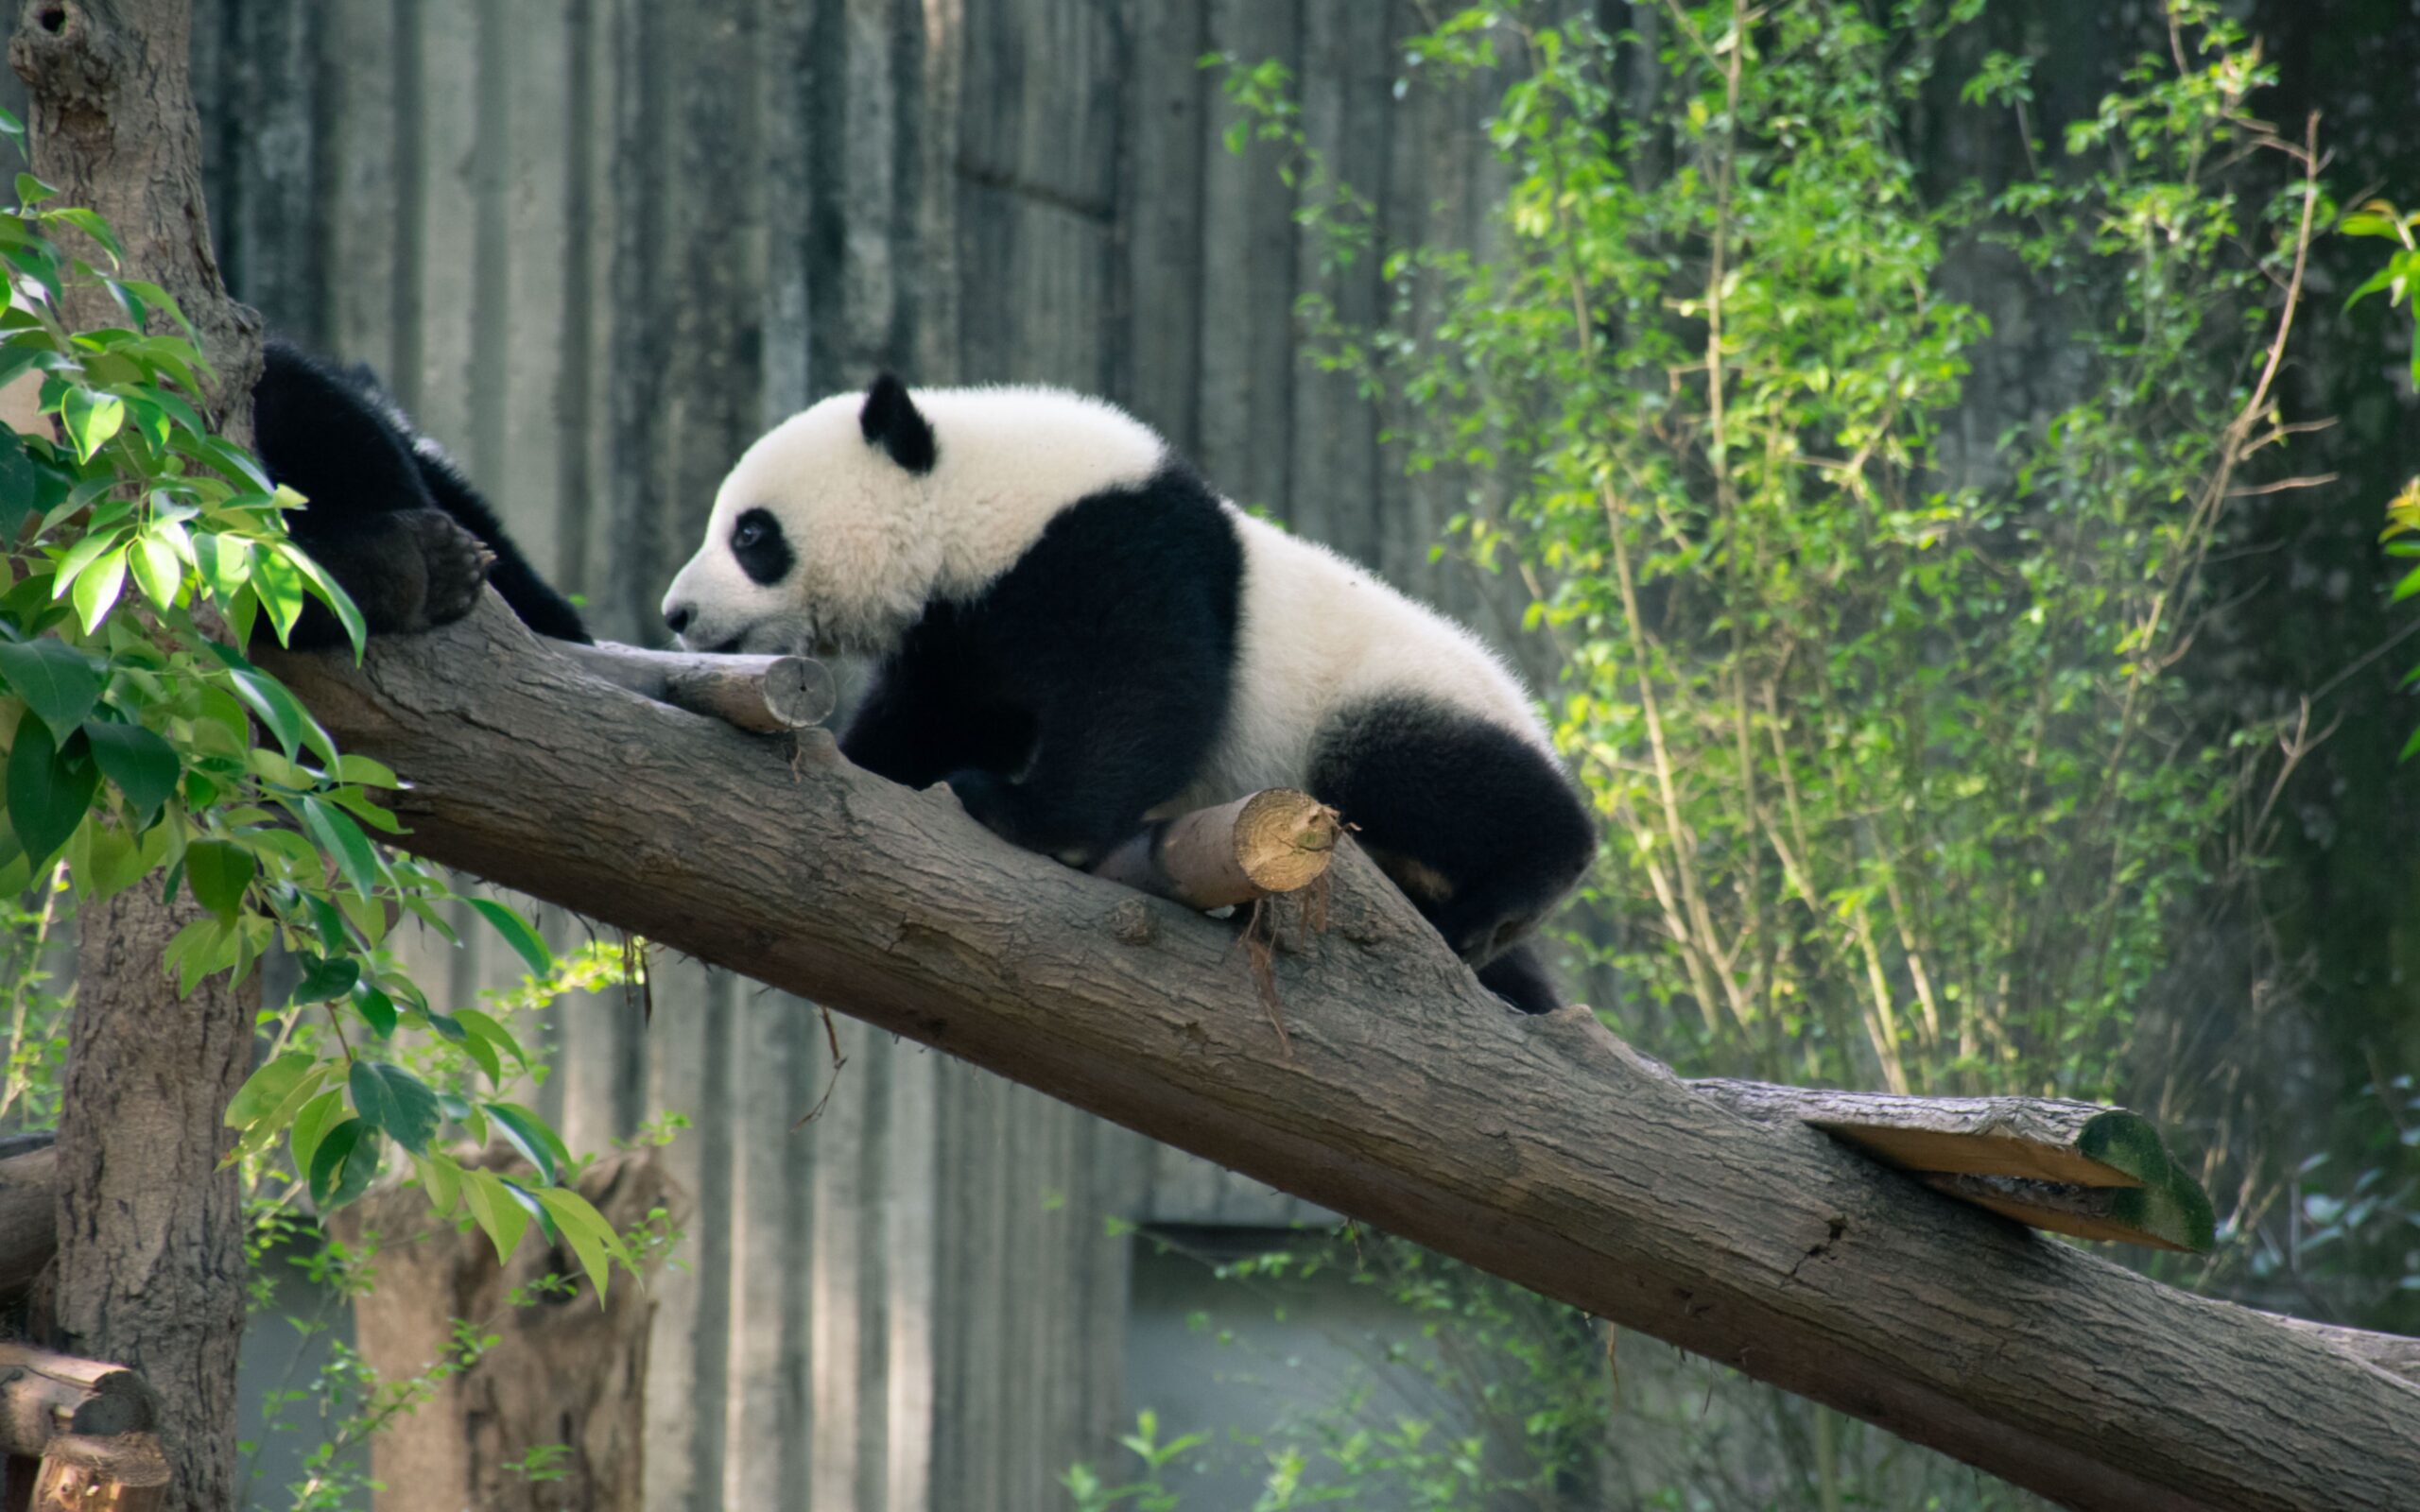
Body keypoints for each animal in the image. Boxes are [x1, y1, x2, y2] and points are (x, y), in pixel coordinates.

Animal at [661, 376, 1596, 1013]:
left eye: (751, 535)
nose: (677, 613)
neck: (978, 498)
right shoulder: (963, 627)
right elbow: (933, 716)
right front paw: (873, 765)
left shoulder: (1116, 546)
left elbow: (1150, 692)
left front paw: (1023, 815)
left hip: (1388, 697)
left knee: (1426, 773)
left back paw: (1514, 891)